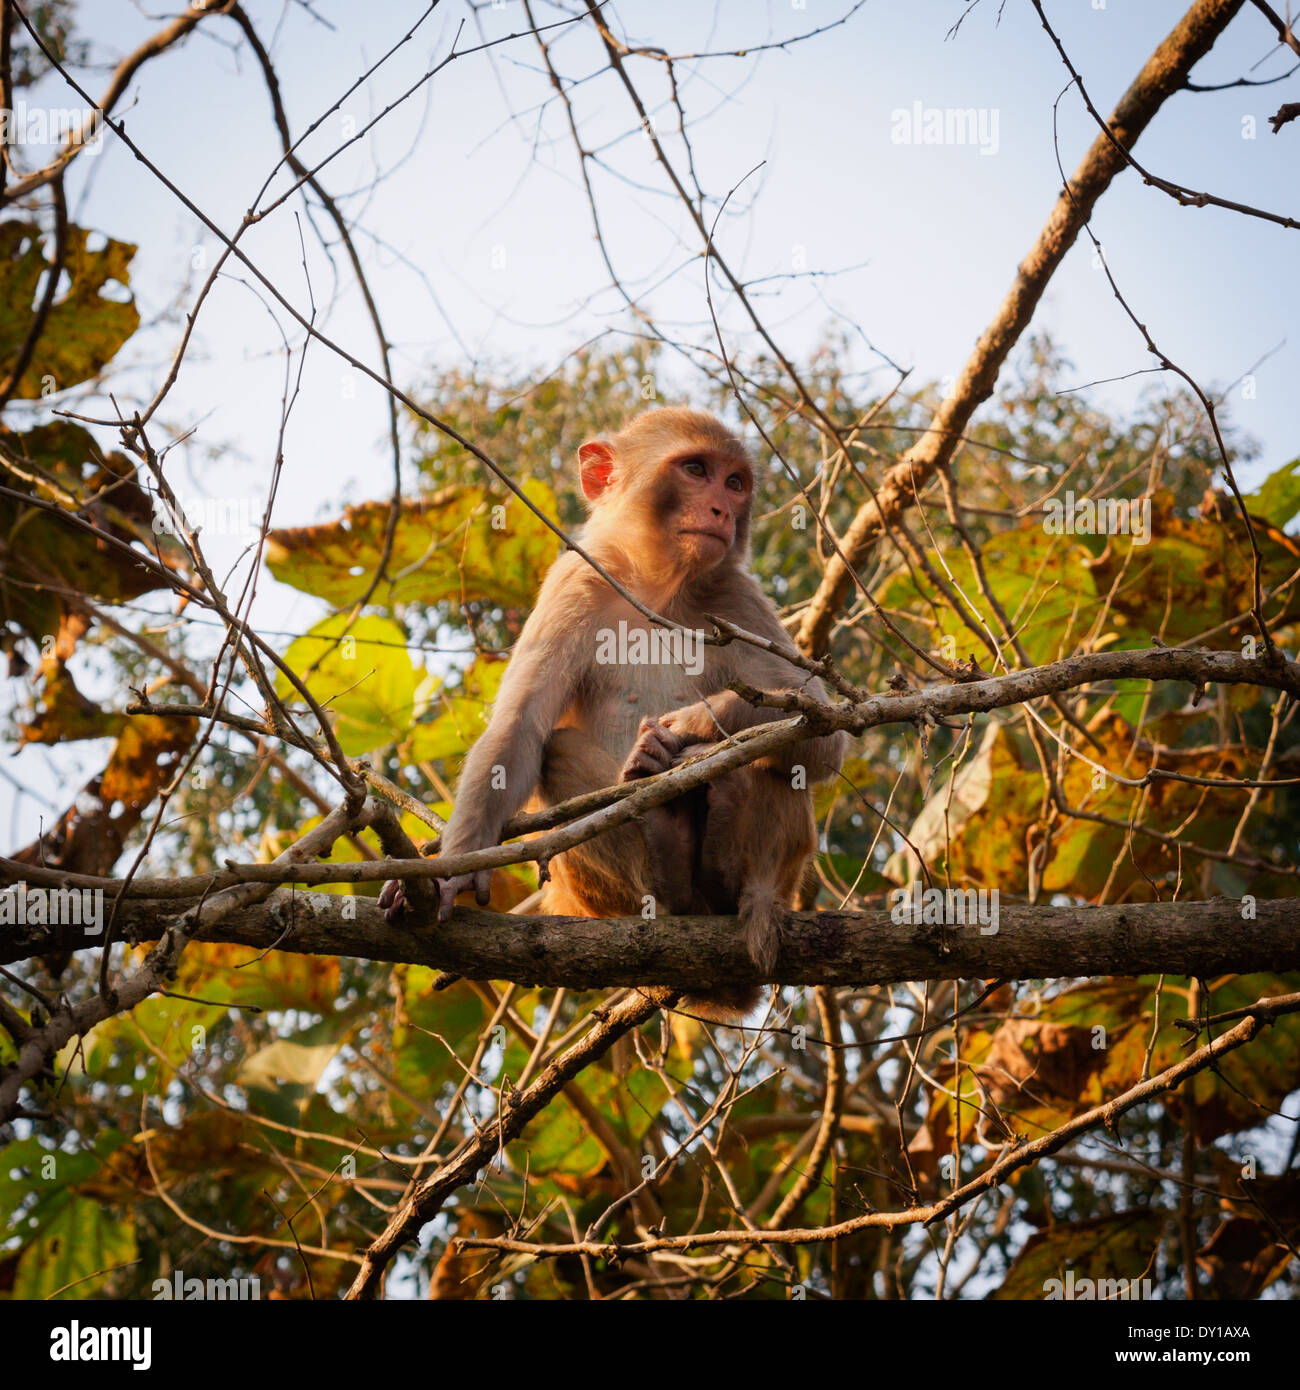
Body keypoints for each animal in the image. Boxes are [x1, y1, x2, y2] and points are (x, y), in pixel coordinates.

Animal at [378, 405, 845, 1023]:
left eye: (735, 482)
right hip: (599, 899)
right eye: (696, 470)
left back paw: (734, 874)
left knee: (773, 759)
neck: (658, 589)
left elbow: (823, 733)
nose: (722, 510)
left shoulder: (737, 598)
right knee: (558, 752)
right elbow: (519, 731)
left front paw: (694, 726)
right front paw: (458, 864)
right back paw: (669, 869)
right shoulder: (574, 584)